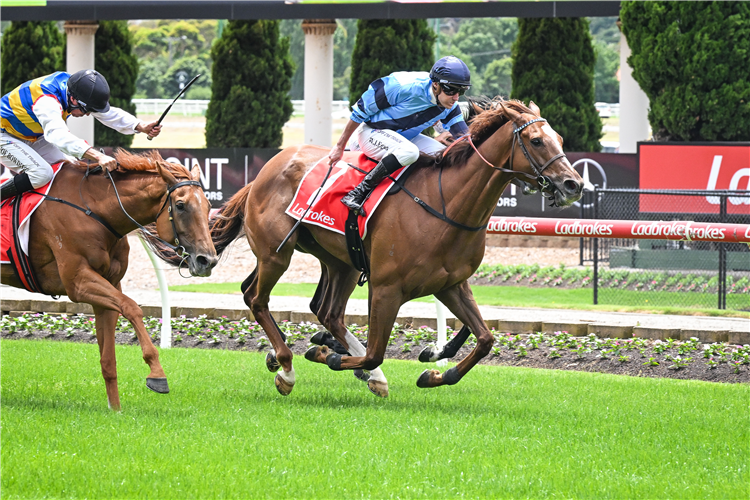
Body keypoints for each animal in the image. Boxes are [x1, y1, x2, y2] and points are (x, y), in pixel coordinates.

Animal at [0, 149, 217, 410]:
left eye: (208, 205)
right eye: (181, 205)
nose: (208, 260)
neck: (95, 210)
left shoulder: (109, 284)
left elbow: (108, 358)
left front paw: (115, 409)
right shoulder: (78, 281)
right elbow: (131, 307)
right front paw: (157, 373)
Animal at [209, 100, 584, 398]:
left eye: (561, 140)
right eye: (536, 140)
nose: (574, 184)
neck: (445, 204)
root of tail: (265, 170)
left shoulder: (451, 284)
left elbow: (485, 340)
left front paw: (434, 372)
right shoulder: (386, 288)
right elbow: (375, 351)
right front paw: (329, 356)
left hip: (340, 261)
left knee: (325, 310)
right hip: (277, 253)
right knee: (258, 299)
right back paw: (287, 366)